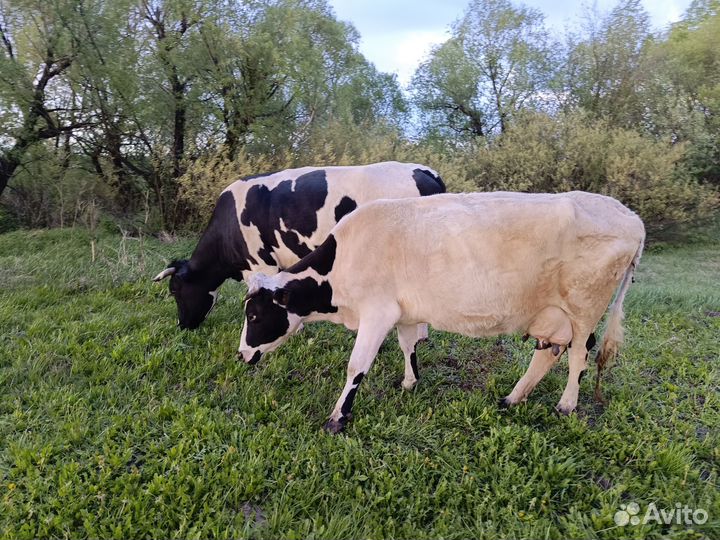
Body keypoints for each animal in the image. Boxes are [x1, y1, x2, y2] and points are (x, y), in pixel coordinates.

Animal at [237, 191, 645, 433]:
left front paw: (338, 418)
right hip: (552, 314)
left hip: (584, 308)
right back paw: (513, 398)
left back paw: (566, 405)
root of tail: (630, 216)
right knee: (548, 353)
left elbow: (357, 366)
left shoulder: (376, 312)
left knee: (579, 354)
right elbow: (408, 346)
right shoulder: (403, 312)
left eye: (254, 316)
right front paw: (409, 382)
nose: (241, 354)